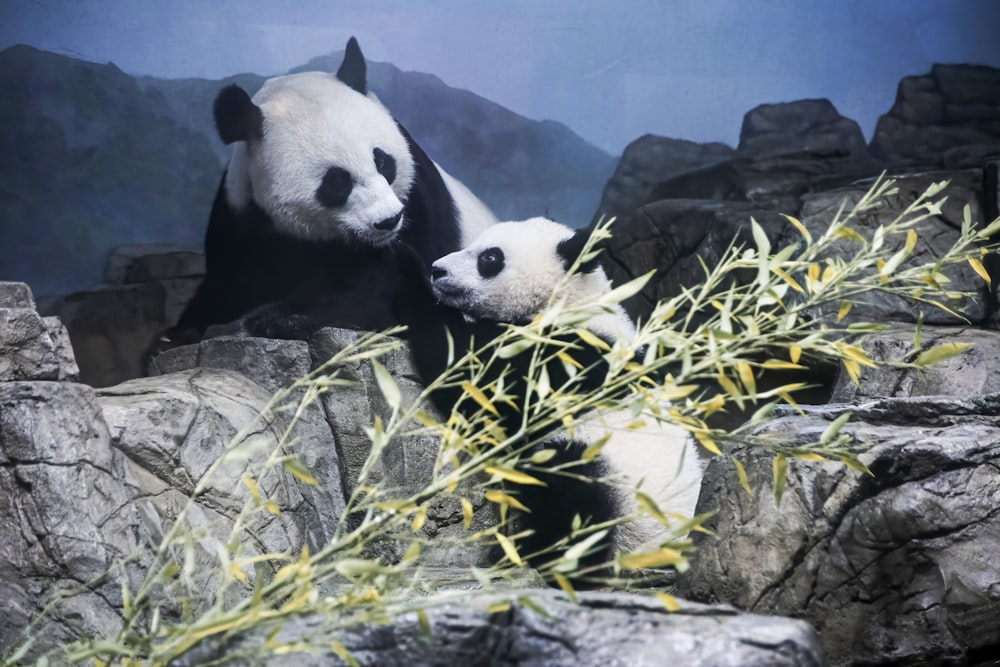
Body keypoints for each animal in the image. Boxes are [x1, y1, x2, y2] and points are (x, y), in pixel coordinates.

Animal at [166, 37, 498, 344]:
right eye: (336, 182)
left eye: (382, 161)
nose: (388, 220)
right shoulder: (242, 216)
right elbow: (229, 281)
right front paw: (179, 332)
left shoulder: (418, 206)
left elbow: (380, 290)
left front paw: (280, 318)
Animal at [398, 219, 704, 576]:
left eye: (490, 258)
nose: (438, 270)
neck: (571, 301)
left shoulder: (570, 359)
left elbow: (473, 374)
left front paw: (400, 267)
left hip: (626, 496)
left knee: (572, 489)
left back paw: (536, 555)